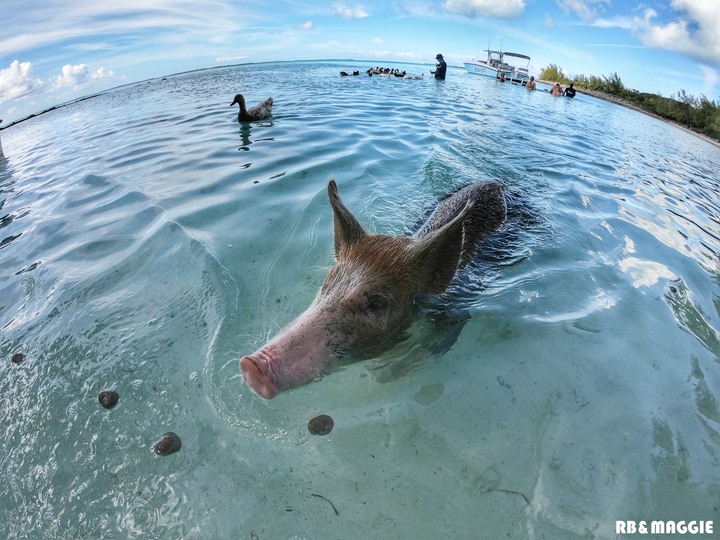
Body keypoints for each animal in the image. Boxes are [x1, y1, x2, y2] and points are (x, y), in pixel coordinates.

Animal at [239, 177, 504, 396]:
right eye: (327, 282)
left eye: (377, 302)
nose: (251, 365)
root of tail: (497, 182)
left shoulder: (456, 309)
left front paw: (384, 377)